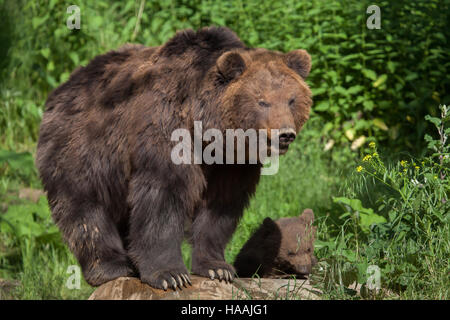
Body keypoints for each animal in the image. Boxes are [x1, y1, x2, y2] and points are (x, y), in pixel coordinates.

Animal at [36, 25, 312, 290]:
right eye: (262, 101)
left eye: (291, 99)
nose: (285, 134)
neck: (207, 131)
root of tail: (63, 86)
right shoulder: (166, 131)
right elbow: (164, 198)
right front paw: (170, 275)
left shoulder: (231, 163)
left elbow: (220, 206)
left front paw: (218, 268)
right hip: (81, 148)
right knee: (84, 208)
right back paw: (110, 267)